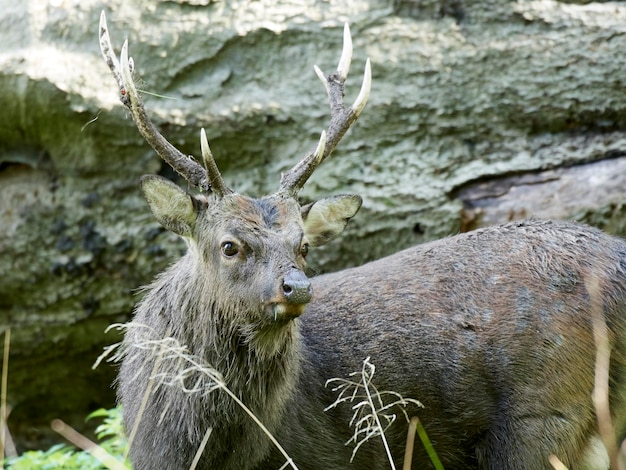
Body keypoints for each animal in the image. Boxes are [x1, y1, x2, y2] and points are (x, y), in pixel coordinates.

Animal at [97, 11, 624, 470]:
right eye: (229, 245)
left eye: (303, 245)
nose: (297, 287)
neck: (197, 447)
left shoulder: (326, 456)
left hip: (544, 415)